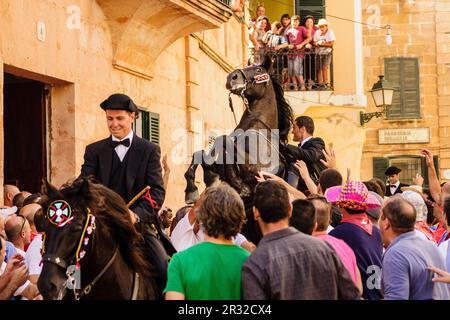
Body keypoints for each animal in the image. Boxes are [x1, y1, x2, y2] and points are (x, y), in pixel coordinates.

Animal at [185, 56, 294, 244]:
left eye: (258, 70)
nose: (232, 77)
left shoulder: (257, 170)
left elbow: (226, 143)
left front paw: (238, 186)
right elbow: (203, 153)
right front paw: (193, 189)